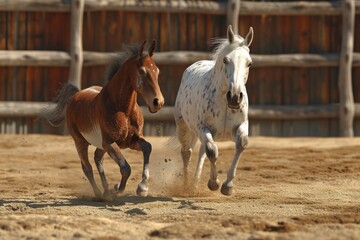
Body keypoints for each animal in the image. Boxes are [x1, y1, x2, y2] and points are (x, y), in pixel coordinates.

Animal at [42, 40, 165, 199]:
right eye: (142, 71)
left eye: (157, 71)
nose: (158, 102)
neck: (123, 110)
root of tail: (75, 95)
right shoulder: (110, 143)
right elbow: (126, 168)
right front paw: (117, 190)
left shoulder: (131, 141)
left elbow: (148, 148)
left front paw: (142, 187)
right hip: (80, 142)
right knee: (87, 167)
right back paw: (100, 194)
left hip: (100, 146)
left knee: (97, 158)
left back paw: (106, 190)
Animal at [174, 25, 253, 196]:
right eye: (226, 60)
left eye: (249, 63)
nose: (235, 97)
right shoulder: (204, 128)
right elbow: (212, 151)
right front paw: (214, 183)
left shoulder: (240, 126)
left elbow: (241, 144)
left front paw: (227, 185)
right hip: (184, 128)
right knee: (187, 152)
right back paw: (187, 186)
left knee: (201, 153)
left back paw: (195, 184)